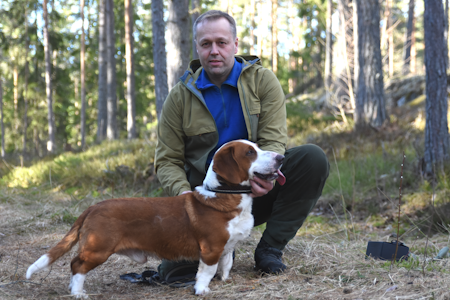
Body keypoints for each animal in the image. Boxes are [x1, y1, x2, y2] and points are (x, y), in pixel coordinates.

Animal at [25, 139, 284, 296]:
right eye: (250, 153)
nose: (281, 158)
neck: (226, 195)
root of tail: (92, 207)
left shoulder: (228, 247)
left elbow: (226, 265)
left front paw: (224, 281)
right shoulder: (211, 248)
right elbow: (206, 272)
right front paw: (201, 290)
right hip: (98, 249)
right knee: (77, 264)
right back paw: (78, 292)